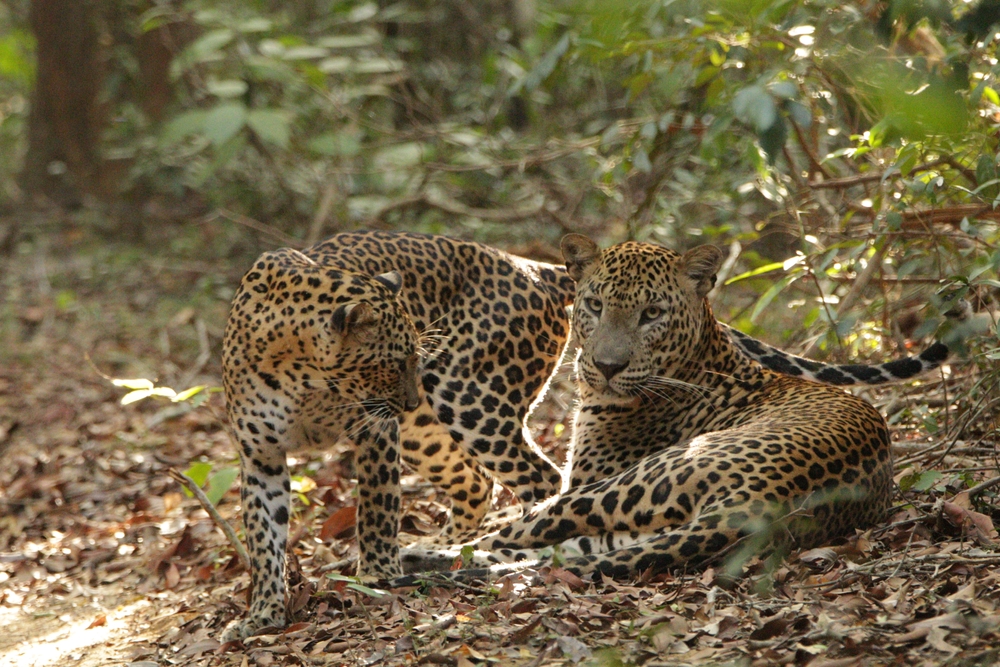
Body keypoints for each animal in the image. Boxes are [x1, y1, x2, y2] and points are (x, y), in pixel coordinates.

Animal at [400, 237, 920, 580]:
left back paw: (418, 554)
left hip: (614, 487)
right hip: (631, 527)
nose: (607, 366)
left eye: (652, 314)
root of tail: (763, 504)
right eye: (594, 305)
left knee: (511, 537)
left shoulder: (587, 479)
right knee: (558, 550)